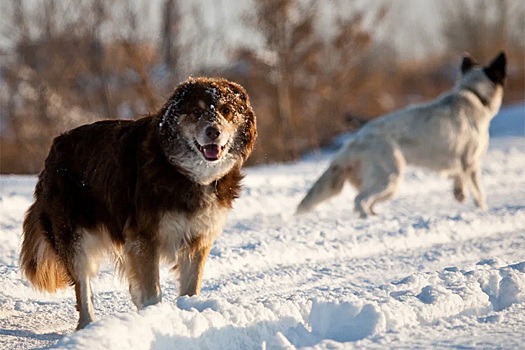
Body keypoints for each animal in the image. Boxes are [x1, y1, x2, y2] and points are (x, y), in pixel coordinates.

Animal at [19, 76, 256, 328]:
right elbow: (152, 291)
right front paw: (155, 317)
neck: (184, 173)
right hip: (74, 237)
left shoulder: (197, 237)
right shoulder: (144, 237)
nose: (213, 131)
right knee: (83, 287)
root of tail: (55, 146)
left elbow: (190, 288)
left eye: (226, 110)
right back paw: (88, 324)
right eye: (196, 111)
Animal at [294, 51, 504, 216]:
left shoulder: (458, 162)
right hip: (390, 177)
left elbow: (458, 179)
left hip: (388, 184)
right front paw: (483, 210)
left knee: (365, 202)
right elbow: (479, 193)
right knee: (360, 200)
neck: (474, 95)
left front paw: (459, 194)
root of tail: (354, 142)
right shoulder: (471, 163)